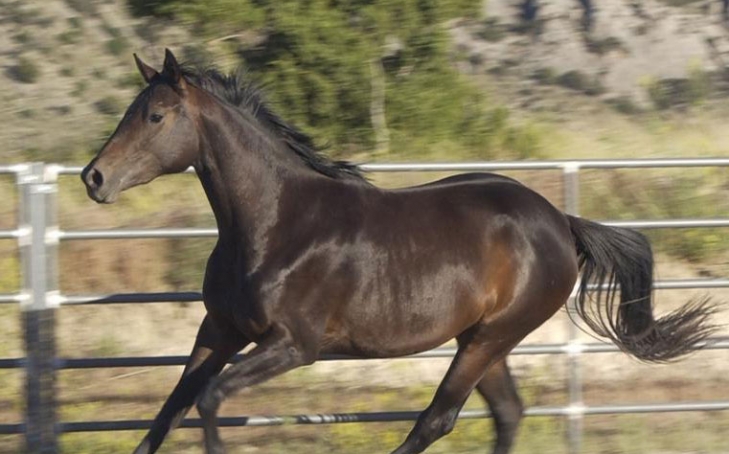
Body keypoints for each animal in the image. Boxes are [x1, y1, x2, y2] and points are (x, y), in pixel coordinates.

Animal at [81, 49, 715, 454]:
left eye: (155, 115)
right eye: (127, 110)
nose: (94, 178)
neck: (275, 223)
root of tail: (561, 220)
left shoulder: (293, 346)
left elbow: (210, 400)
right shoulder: (218, 330)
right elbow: (168, 413)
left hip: (491, 337)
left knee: (439, 419)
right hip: (483, 339)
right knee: (505, 413)